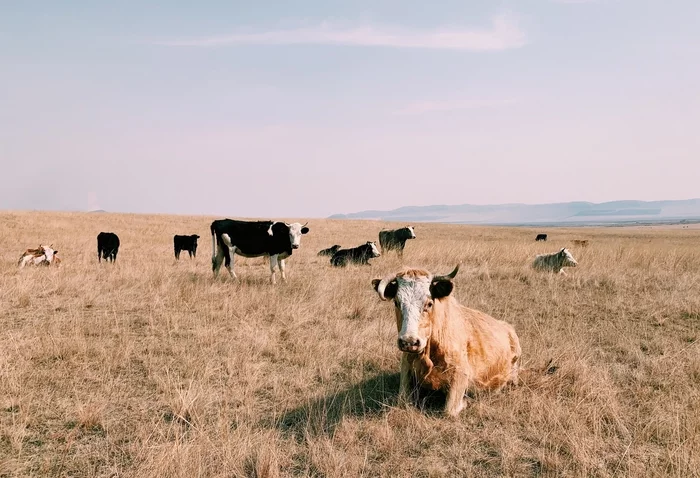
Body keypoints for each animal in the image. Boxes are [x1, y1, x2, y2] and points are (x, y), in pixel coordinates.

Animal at [374, 264, 524, 416]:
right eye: (397, 302)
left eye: (429, 304)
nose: (409, 342)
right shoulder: (405, 368)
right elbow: (402, 400)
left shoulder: (461, 373)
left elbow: (449, 410)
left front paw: (465, 402)